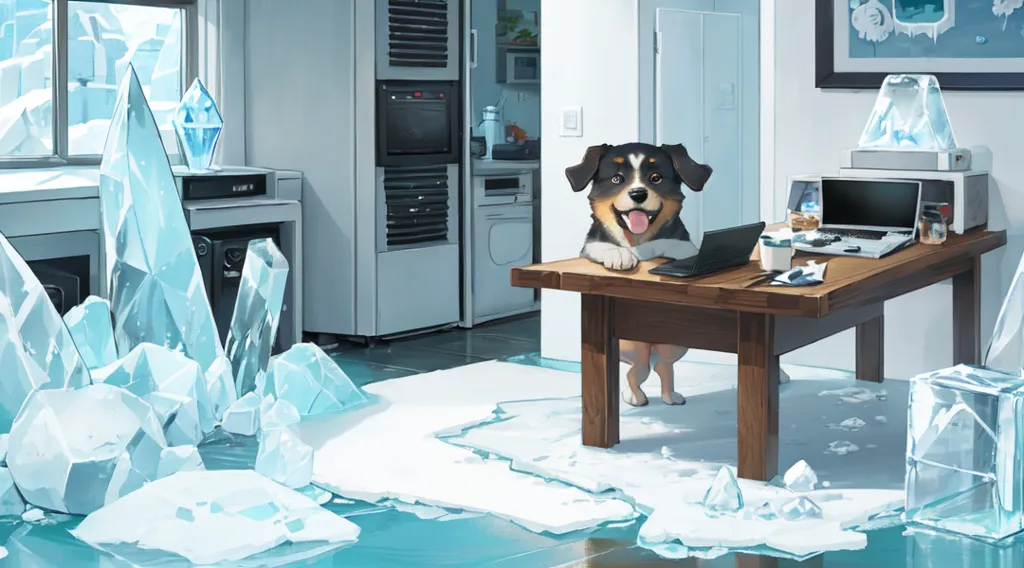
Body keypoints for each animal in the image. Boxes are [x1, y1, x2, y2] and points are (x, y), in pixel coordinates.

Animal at [561, 142, 712, 409]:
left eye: (656, 178)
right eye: (617, 178)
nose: (639, 193)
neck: (637, 241)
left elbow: (677, 245)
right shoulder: (589, 246)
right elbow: (602, 246)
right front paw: (619, 256)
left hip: (676, 343)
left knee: (663, 366)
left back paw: (670, 397)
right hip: (629, 346)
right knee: (635, 372)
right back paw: (634, 397)